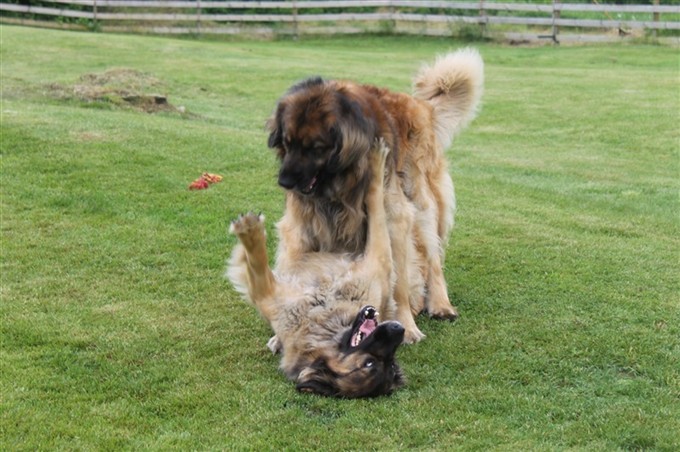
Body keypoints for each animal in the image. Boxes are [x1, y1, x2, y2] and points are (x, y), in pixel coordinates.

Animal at [266, 48, 484, 342]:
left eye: (315, 148)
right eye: (287, 143)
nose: (284, 182)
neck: (340, 183)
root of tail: (420, 105)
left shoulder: (394, 219)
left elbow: (399, 281)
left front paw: (406, 326)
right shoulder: (302, 223)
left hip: (422, 206)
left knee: (433, 258)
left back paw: (439, 305)